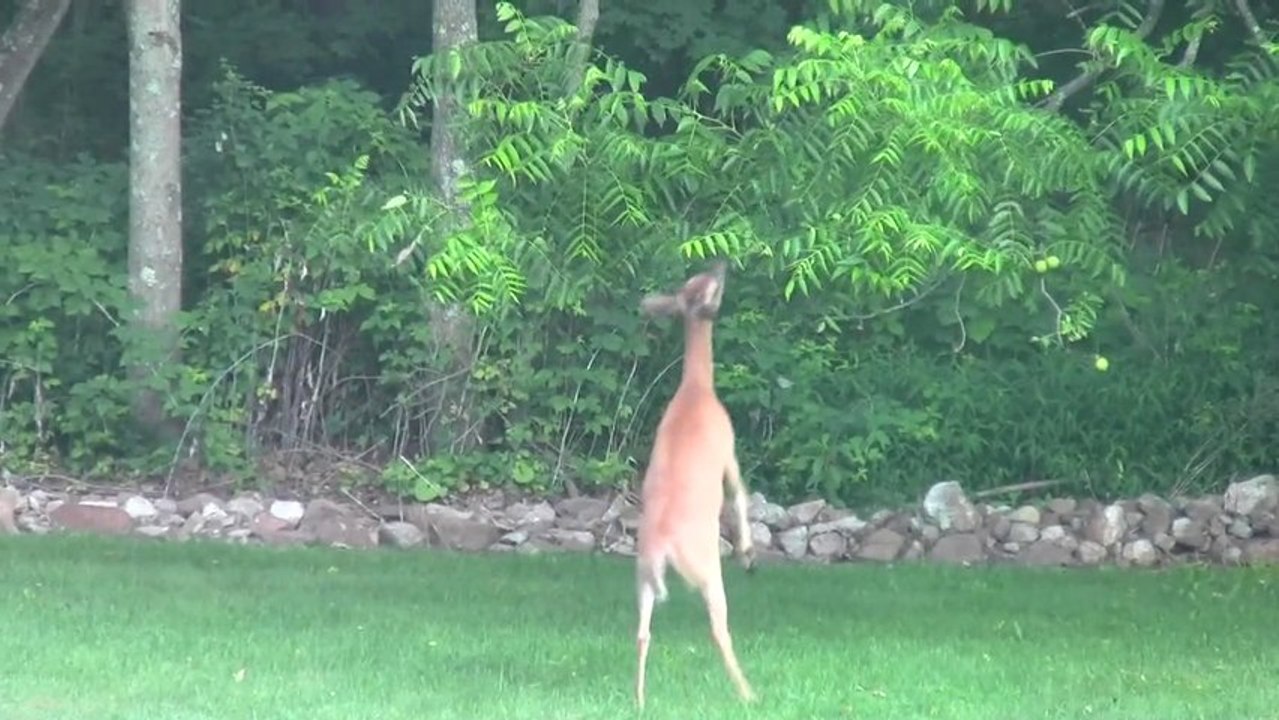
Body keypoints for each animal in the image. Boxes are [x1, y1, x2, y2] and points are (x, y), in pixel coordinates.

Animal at [633, 258, 757, 709]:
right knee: (718, 629)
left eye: (695, 279)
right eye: (707, 284)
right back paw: (749, 694)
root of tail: (662, 547)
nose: (723, 262)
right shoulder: (729, 448)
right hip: (706, 570)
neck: (696, 388)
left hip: (642, 578)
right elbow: (741, 496)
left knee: (642, 632)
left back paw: (639, 700)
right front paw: (748, 552)